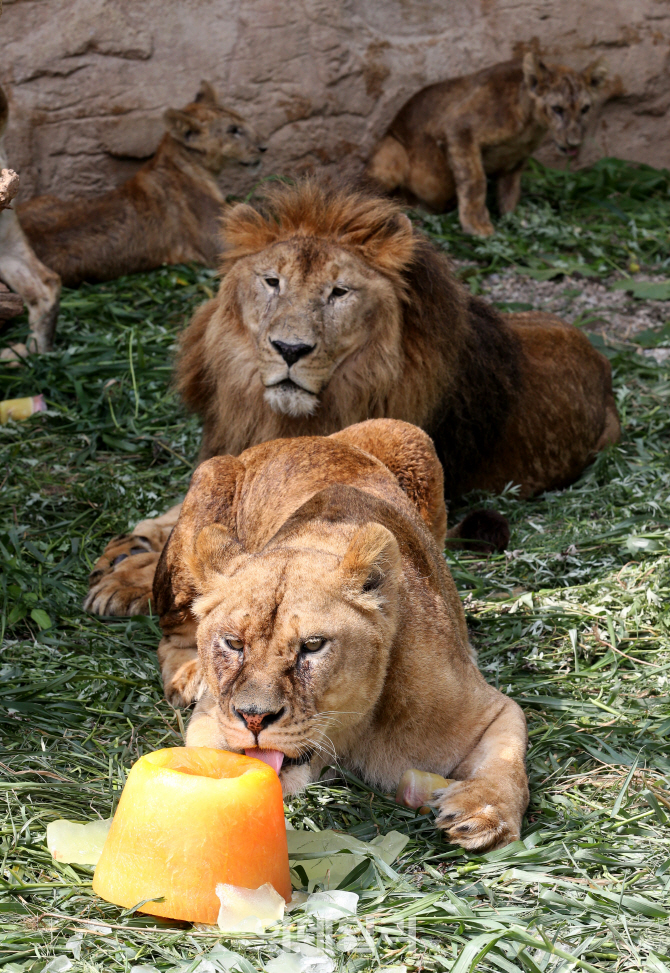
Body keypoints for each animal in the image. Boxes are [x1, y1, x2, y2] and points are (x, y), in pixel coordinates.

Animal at [84, 178, 620, 616]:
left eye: (339, 292)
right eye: (272, 281)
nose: (290, 349)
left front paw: (129, 580)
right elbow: (187, 512)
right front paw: (131, 546)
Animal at [152, 420, 532, 852]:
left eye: (313, 646)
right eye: (234, 643)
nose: (254, 718)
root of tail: (306, 437)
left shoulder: (485, 708)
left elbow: (507, 758)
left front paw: (484, 814)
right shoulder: (211, 717)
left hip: (410, 437)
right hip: (208, 487)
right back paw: (187, 674)